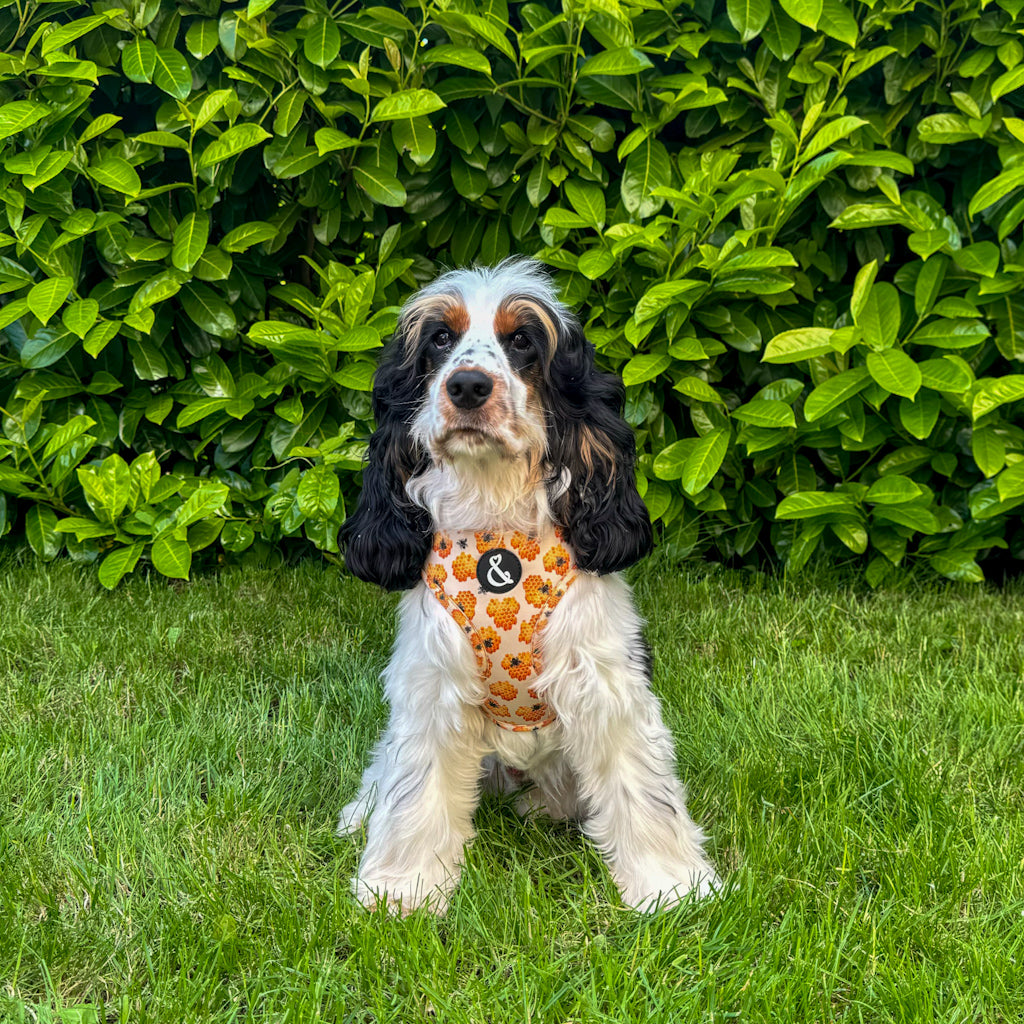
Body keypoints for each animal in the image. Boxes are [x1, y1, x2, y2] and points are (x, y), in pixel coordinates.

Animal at [337, 256, 720, 913]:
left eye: (521, 341)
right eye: (440, 338)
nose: (468, 386)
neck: (496, 519)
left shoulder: (605, 681)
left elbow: (642, 789)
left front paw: (672, 887)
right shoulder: (432, 684)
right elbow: (415, 790)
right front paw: (402, 890)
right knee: (385, 769)